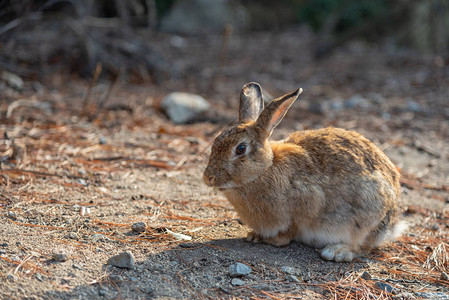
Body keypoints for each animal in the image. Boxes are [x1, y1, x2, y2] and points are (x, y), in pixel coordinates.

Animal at [204, 82, 406, 262]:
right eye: (216, 141)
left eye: (240, 149)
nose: (208, 178)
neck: (265, 169)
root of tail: (393, 221)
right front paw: (254, 235)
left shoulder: (307, 202)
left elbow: (290, 231)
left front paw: (272, 240)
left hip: (369, 213)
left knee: (364, 246)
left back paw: (337, 252)